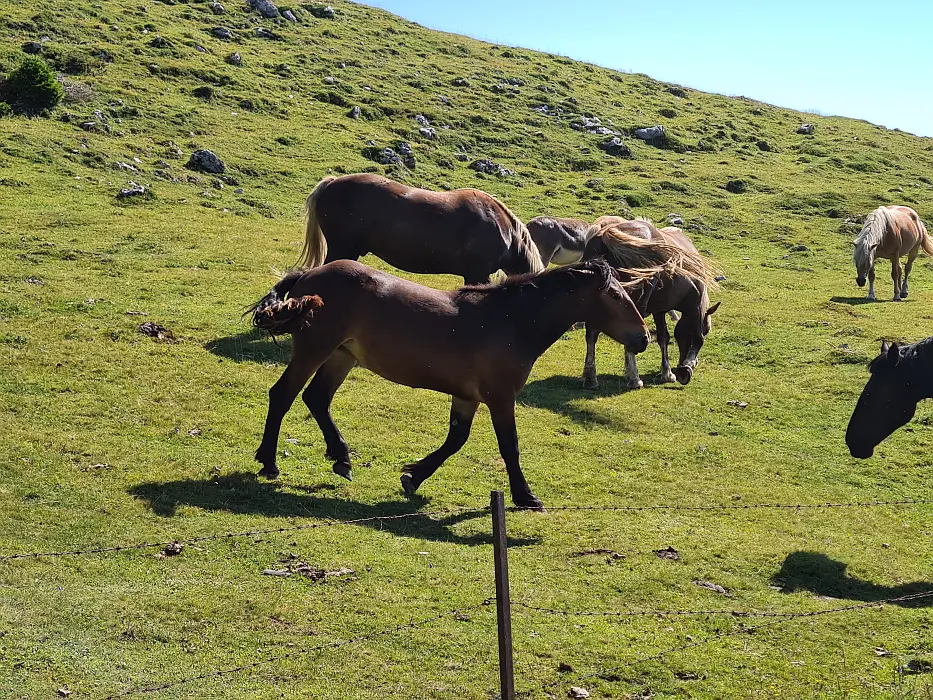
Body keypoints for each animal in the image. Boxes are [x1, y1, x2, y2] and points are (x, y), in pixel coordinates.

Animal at [251, 258, 652, 508]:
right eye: (616, 296)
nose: (643, 339)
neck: (511, 320)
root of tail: (308, 275)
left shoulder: (467, 397)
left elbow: (455, 440)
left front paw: (413, 477)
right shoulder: (500, 397)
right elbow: (510, 447)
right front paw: (525, 496)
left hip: (341, 355)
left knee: (317, 399)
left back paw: (342, 458)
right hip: (316, 349)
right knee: (283, 395)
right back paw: (270, 463)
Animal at [580, 219, 716, 392]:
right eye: (707, 330)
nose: (692, 363)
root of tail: (606, 234)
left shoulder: (659, 310)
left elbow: (663, 337)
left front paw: (666, 372)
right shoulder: (695, 307)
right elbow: (697, 339)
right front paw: (684, 369)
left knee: (592, 335)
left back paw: (591, 378)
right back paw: (635, 379)